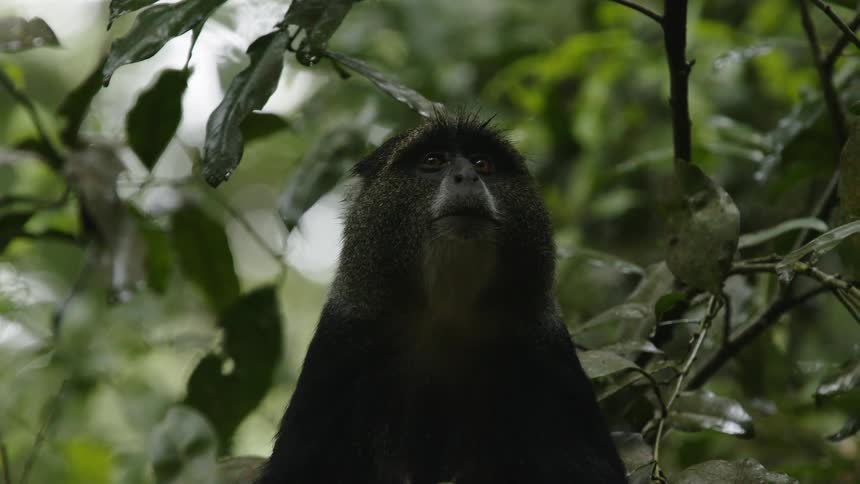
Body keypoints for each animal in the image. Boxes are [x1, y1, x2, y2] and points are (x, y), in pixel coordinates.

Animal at [256, 114, 627, 484]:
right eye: (433, 160)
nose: (468, 176)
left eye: (482, 163)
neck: (445, 312)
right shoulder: (344, 340)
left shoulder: (544, 343)